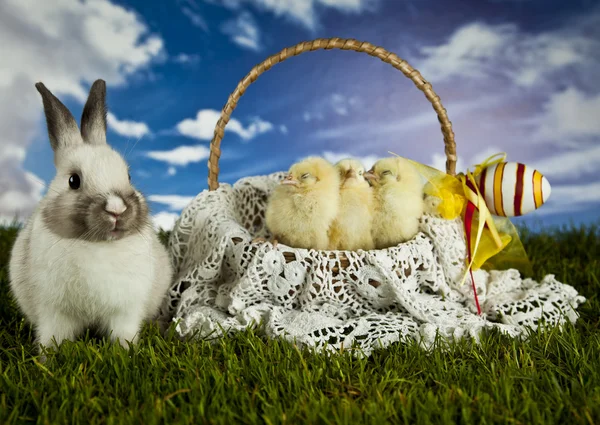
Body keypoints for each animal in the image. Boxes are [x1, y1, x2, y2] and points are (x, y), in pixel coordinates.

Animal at [9, 78, 173, 352]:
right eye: (74, 180)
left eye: (129, 176)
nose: (117, 209)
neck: (99, 245)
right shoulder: (54, 314)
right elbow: (52, 339)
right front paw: (47, 358)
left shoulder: (125, 312)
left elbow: (124, 335)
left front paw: (127, 353)